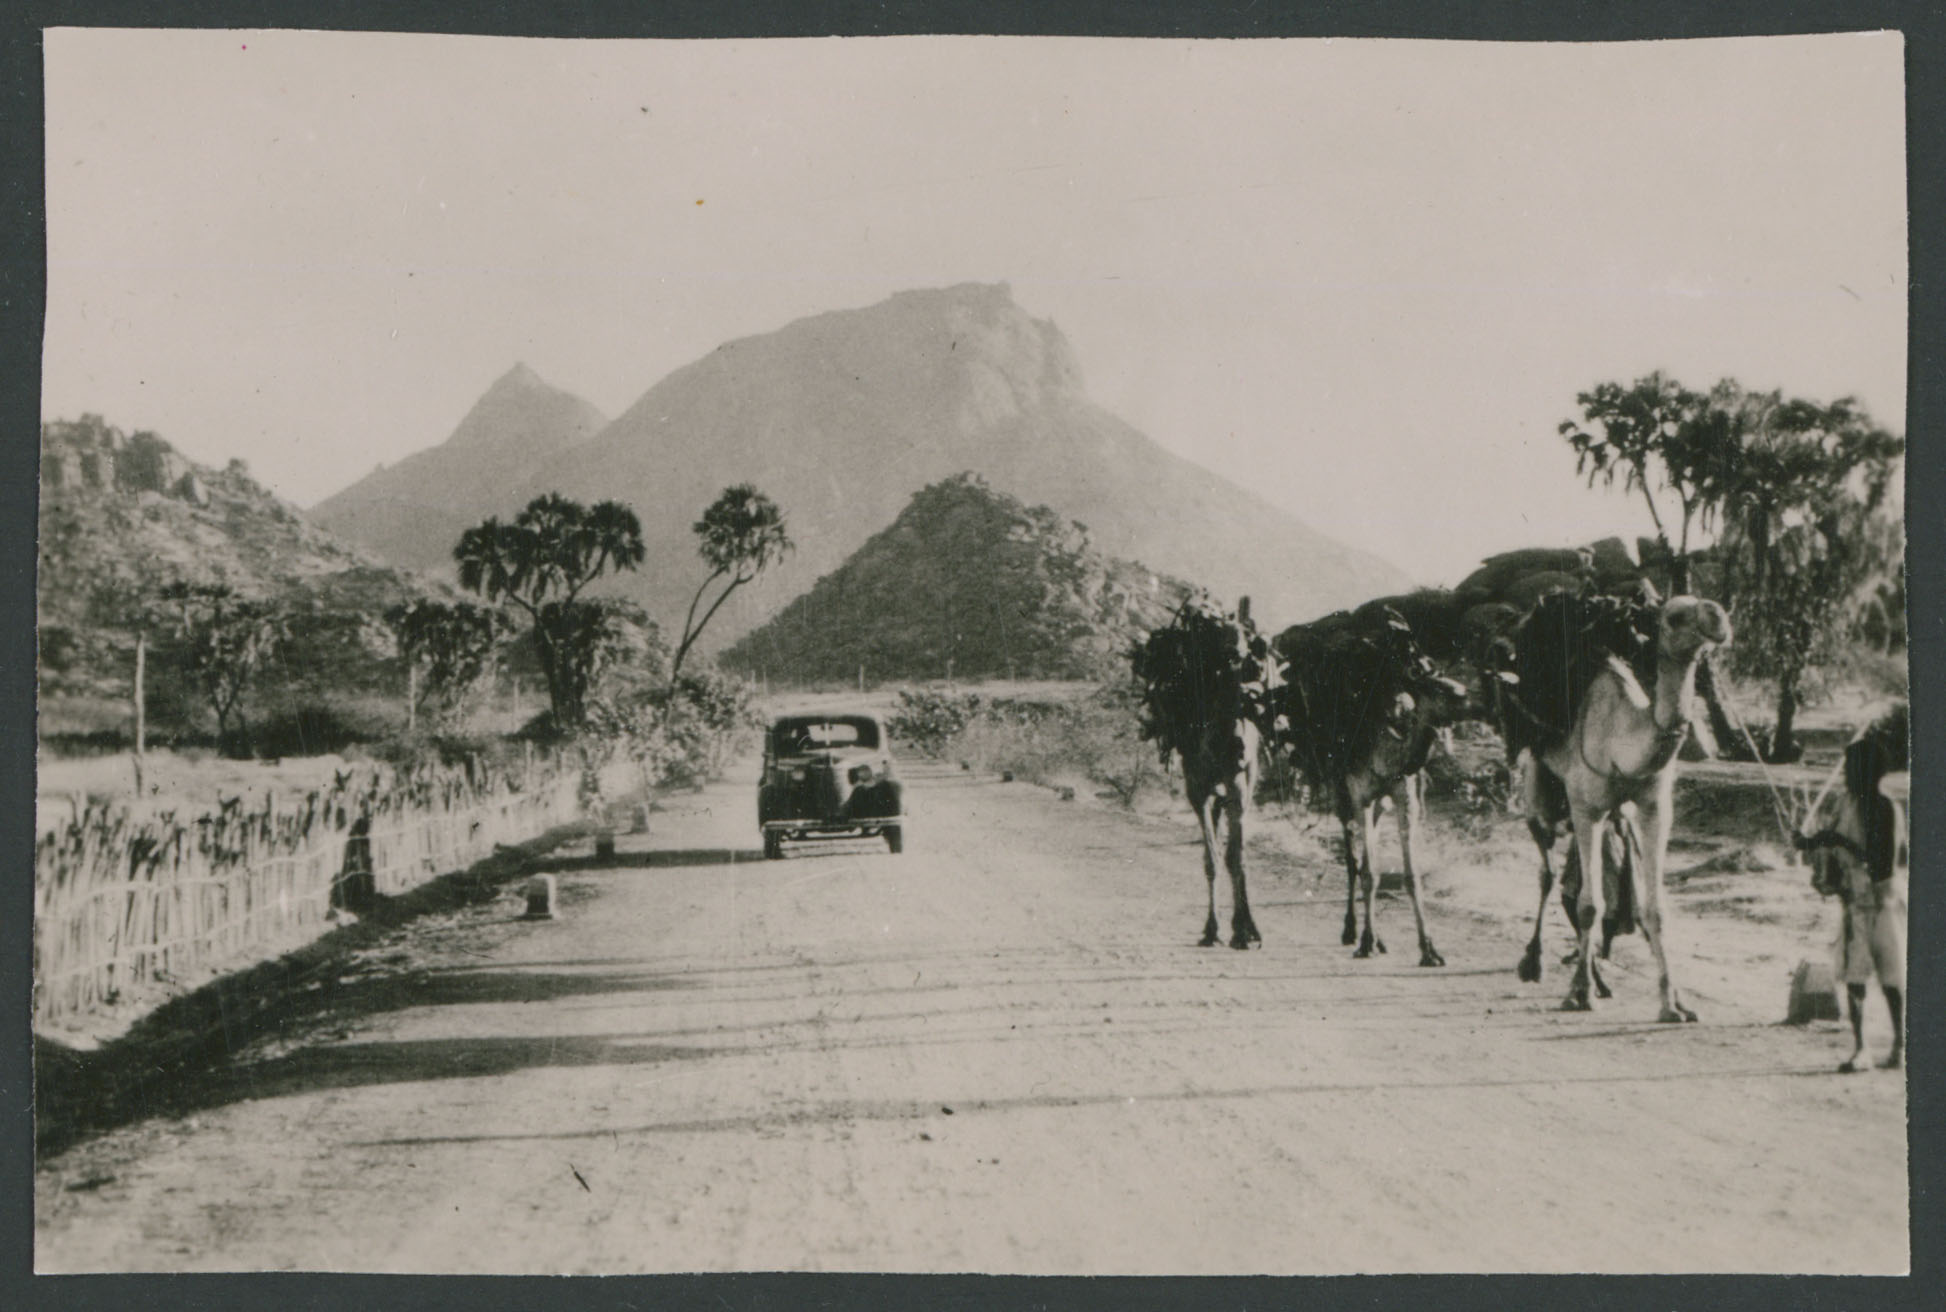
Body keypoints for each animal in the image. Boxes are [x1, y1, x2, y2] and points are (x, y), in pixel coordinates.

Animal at [1132, 595, 1275, 949]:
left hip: (1244, 782)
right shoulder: (1197, 788)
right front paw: (1213, 928)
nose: (1242, 656)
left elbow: (1236, 856)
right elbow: (1210, 858)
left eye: (1246, 635)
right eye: (1221, 635)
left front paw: (1245, 929)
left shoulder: (1237, 784)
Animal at [1273, 610, 1470, 966]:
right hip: (1342, 795)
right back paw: (1352, 930)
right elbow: (1369, 873)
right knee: (1353, 861)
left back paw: (1378, 937)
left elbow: (1410, 875)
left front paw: (1429, 948)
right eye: (1435, 686)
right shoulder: (1360, 795)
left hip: (1379, 803)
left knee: (1364, 854)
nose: (1464, 693)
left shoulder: (1405, 797)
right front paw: (1365, 941)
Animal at [1502, 593, 1731, 1017]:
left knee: (1573, 880)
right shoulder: (1586, 807)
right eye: (1675, 616)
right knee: (1548, 872)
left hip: (1604, 815)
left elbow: (1653, 909)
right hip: (1541, 798)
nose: (1719, 618)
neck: (1622, 740)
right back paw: (1536, 964)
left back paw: (1599, 978)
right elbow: (1591, 905)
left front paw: (1674, 1004)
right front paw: (1578, 993)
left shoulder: (1655, 808)